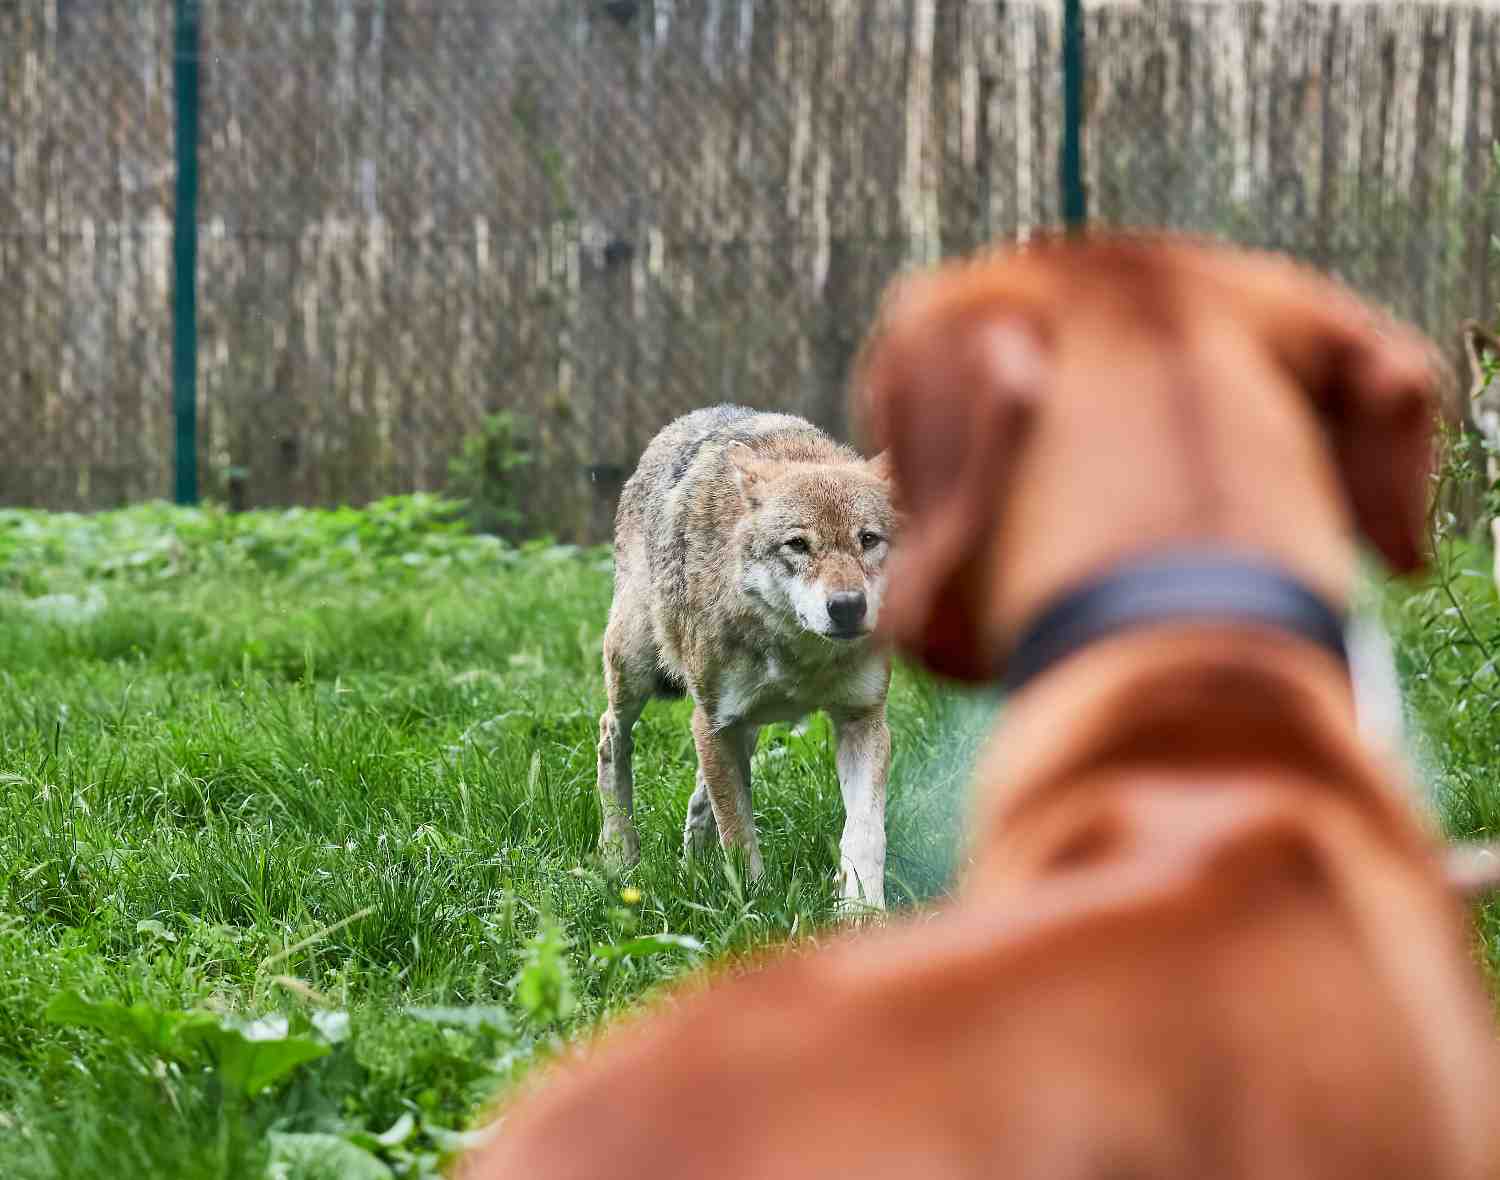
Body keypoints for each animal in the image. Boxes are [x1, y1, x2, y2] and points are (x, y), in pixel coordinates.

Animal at [595, 405, 896, 908]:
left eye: (868, 539)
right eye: (798, 544)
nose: (848, 606)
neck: (802, 657)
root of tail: (686, 420)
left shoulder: (862, 719)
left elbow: (864, 834)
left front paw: (862, 911)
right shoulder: (713, 721)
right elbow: (738, 834)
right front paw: (754, 908)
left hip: (745, 730)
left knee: (700, 798)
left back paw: (692, 866)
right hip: (636, 671)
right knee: (610, 736)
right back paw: (620, 853)